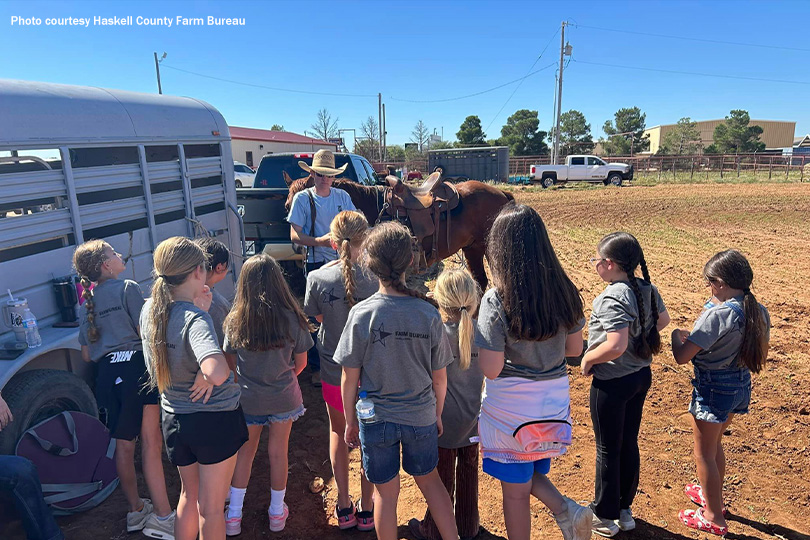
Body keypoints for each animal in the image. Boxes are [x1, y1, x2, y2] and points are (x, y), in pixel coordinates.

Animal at [284, 176, 512, 286]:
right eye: (288, 205)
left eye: (299, 202)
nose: (295, 242)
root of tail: (501, 192)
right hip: (472, 248)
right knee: (480, 281)